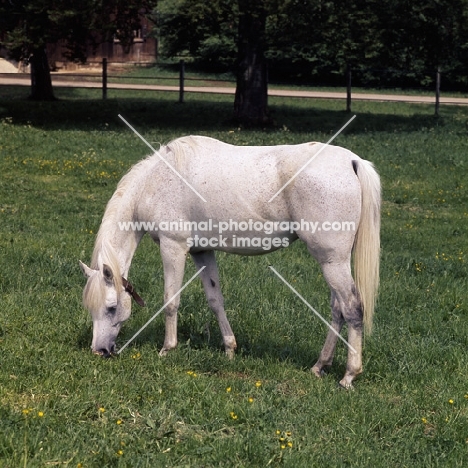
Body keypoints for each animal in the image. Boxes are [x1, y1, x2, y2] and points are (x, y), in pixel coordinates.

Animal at [79, 134, 380, 388]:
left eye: (111, 307)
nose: (99, 351)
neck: (156, 181)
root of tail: (351, 162)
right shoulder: (202, 252)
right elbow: (215, 300)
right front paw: (230, 348)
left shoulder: (172, 246)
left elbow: (171, 300)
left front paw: (167, 348)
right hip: (333, 262)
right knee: (337, 310)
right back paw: (320, 366)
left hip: (331, 261)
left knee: (352, 308)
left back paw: (349, 375)